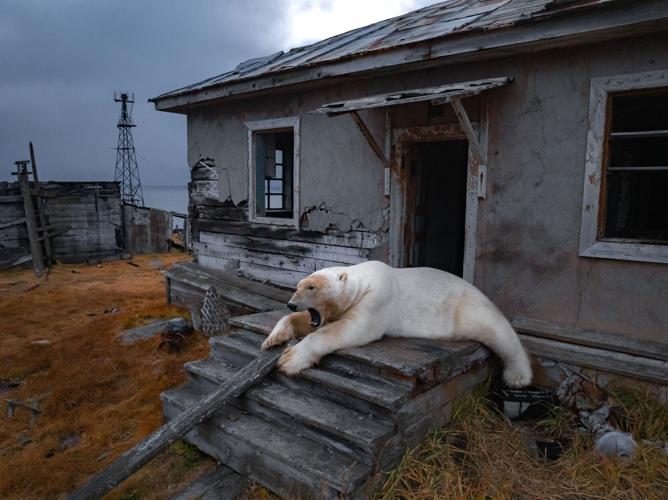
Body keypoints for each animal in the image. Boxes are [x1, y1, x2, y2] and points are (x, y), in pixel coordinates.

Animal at [262, 260, 533, 387]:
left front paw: (290, 359)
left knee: (500, 334)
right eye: (298, 286)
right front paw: (274, 338)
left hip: (469, 309)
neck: (364, 281)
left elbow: (349, 329)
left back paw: (518, 377)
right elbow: (310, 322)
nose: (291, 303)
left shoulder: (378, 299)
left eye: (311, 287)